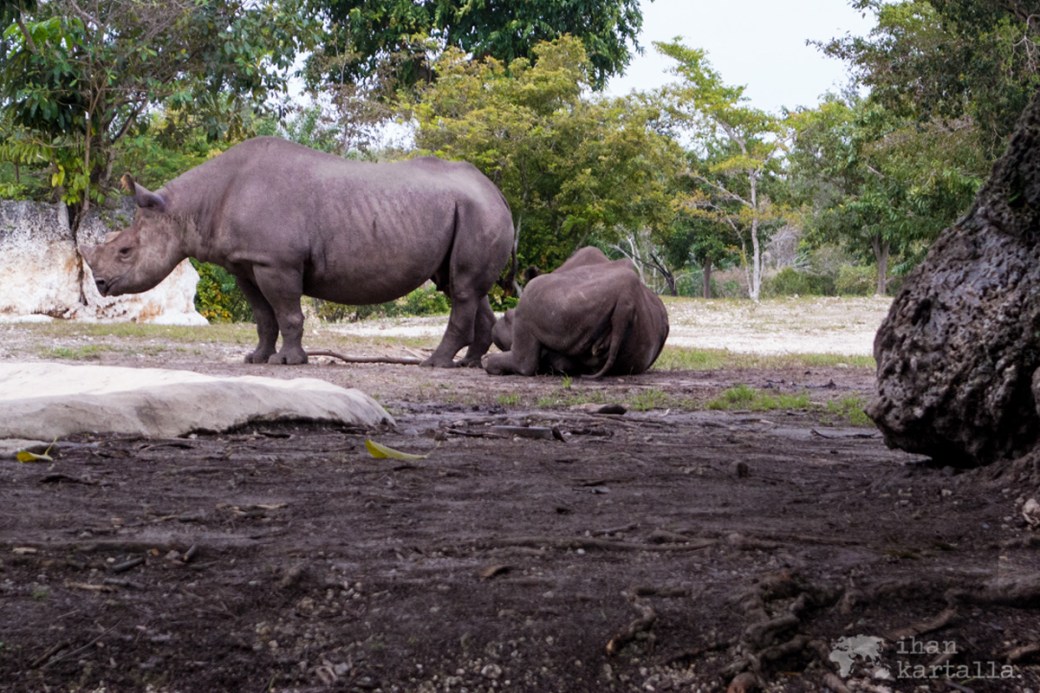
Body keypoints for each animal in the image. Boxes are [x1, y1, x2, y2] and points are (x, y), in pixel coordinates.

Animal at [79, 137, 514, 367]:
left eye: (125, 251)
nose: (99, 284)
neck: (187, 209)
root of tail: (498, 193)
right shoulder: (245, 262)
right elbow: (262, 316)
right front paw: (256, 359)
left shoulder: (276, 261)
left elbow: (287, 313)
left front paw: (289, 362)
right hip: (468, 210)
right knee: (464, 287)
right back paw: (469, 364)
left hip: (478, 210)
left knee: (461, 289)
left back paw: (435, 363)